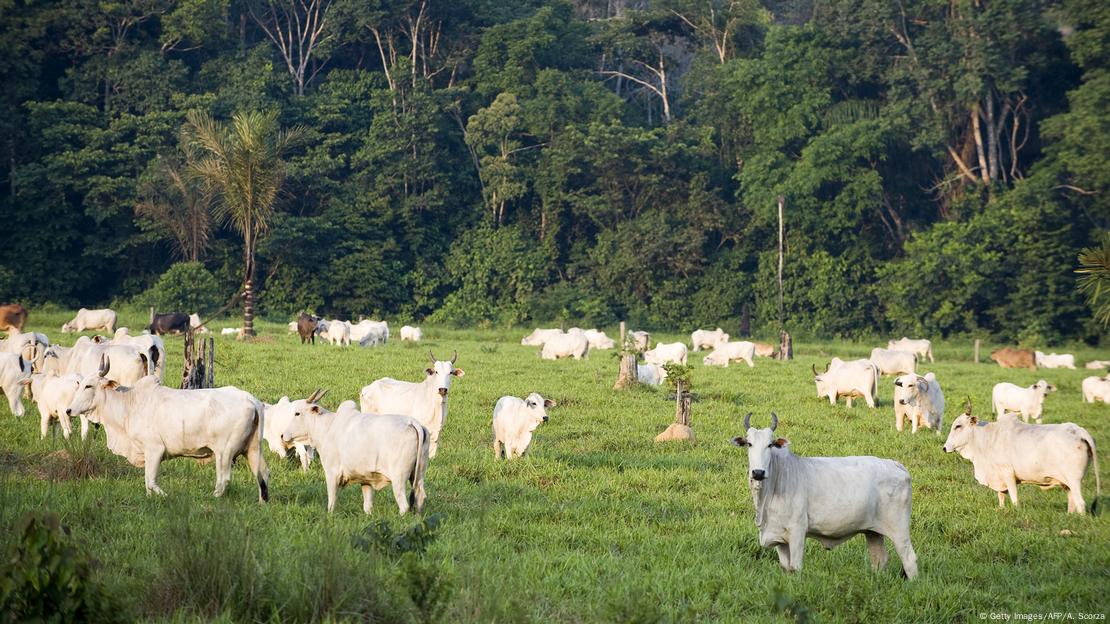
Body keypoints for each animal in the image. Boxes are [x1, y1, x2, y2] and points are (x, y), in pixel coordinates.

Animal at [67, 357, 270, 497]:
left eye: (88, 386)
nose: (69, 410)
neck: (129, 403)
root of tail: (250, 399)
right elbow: (147, 482)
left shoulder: (154, 449)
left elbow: (151, 481)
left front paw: (165, 496)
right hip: (252, 449)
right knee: (263, 473)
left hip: (224, 452)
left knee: (224, 480)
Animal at [281, 390, 428, 512]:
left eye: (297, 413)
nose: (283, 435)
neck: (328, 427)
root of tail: (411, 422)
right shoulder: (366, 480)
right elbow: (367, 506)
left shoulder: (332, 473)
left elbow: (331, 502)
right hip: (417, 475)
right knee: (420, 496)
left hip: (399, 478)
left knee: (404, 505)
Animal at [941, 408, 1096, 510]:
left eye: (958, 426)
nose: (945, 448)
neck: (988, 438)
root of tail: (1079, 431)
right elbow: (1001, 495)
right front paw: (1002, 509)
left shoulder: (1008, 473)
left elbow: (1014, 497)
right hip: (1067, 483)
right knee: (1072, 501)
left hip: (1074, 480)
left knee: (1080, 503)